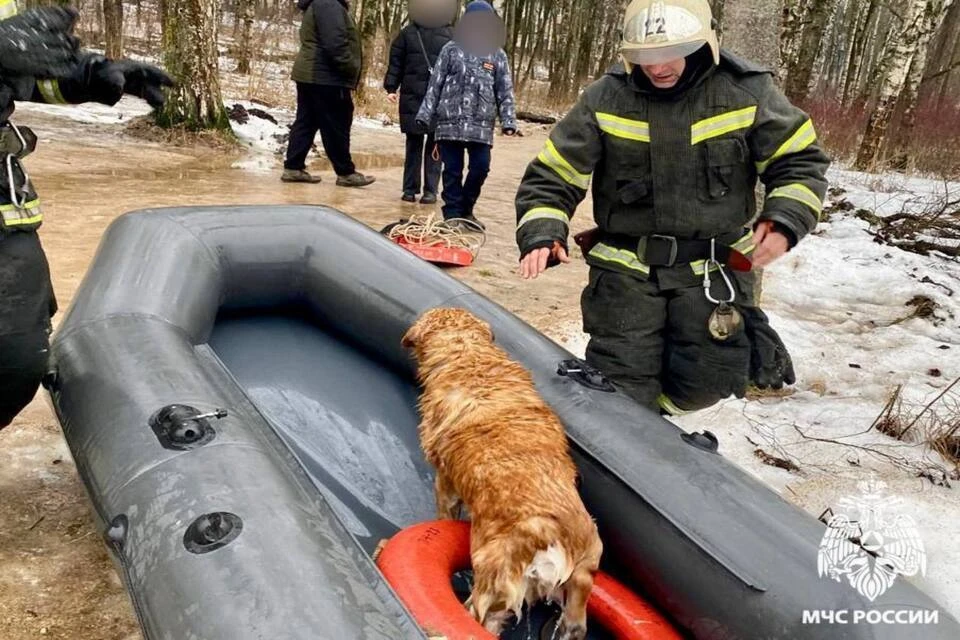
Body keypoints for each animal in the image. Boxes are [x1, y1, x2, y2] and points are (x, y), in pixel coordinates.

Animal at [402, 308, 604, 636]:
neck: (469, 354)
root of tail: (550, 537)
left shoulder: (444, 481)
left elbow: (444, 515)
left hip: (491, 585)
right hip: (584, 575)